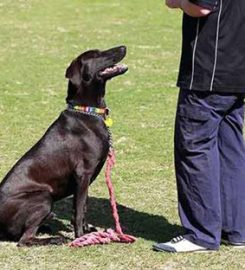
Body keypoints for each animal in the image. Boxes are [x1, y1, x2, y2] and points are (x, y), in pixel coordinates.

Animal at [0, 45, 127, 246]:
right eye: (96, 54)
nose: (124, 46)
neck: (87, 111)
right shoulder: (82, 173)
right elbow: (79, 210)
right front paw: (81, 237)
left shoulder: (84, 180)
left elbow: (83, 208)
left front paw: (87, 231)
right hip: (43, 197)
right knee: (24, 240)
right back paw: (54, 239)